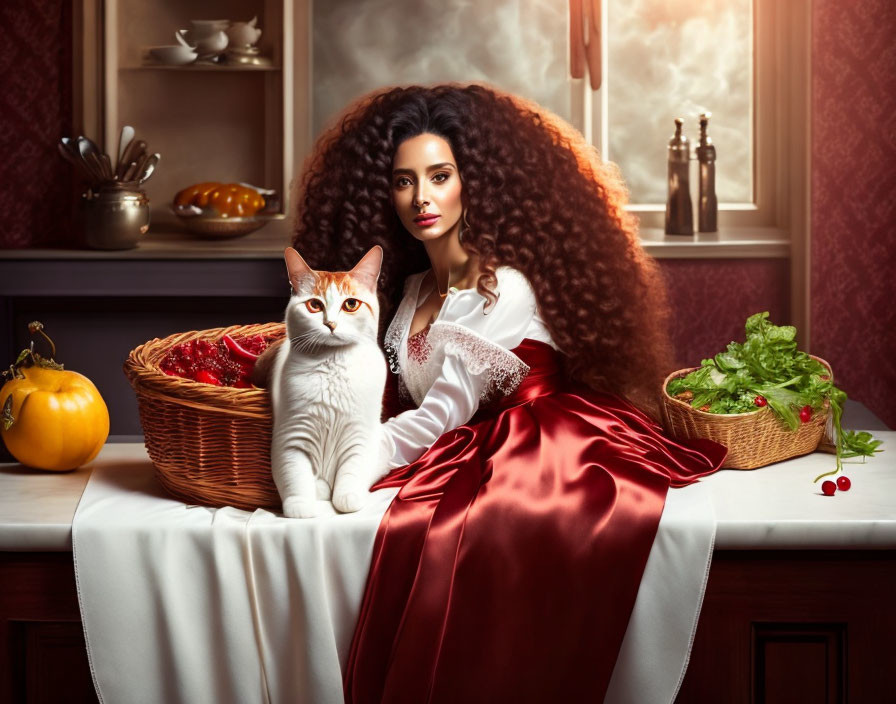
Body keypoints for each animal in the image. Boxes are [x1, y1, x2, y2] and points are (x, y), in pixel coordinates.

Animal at [270, 246, 388, 516]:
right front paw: (301, 505)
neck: (332, 365)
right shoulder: (292, 437)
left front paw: (347, 497)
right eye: (314, 305)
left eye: (351, 304)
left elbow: (352, 470)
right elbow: (295, 474)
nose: (330, 324)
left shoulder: (360, 435)